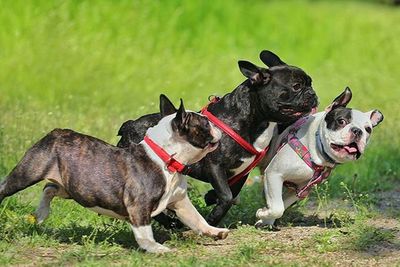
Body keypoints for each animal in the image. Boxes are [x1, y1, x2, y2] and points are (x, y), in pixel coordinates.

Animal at [117, 50, 318, 226]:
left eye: (310, 83)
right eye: (296, 87)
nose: (313, 94)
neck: (253, 120)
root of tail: (129, 125)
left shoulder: (241, 173)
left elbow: (231, 193)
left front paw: (211, 198)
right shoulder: (215, 166)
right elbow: (227, 196)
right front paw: (213, 218)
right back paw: (169, 222)